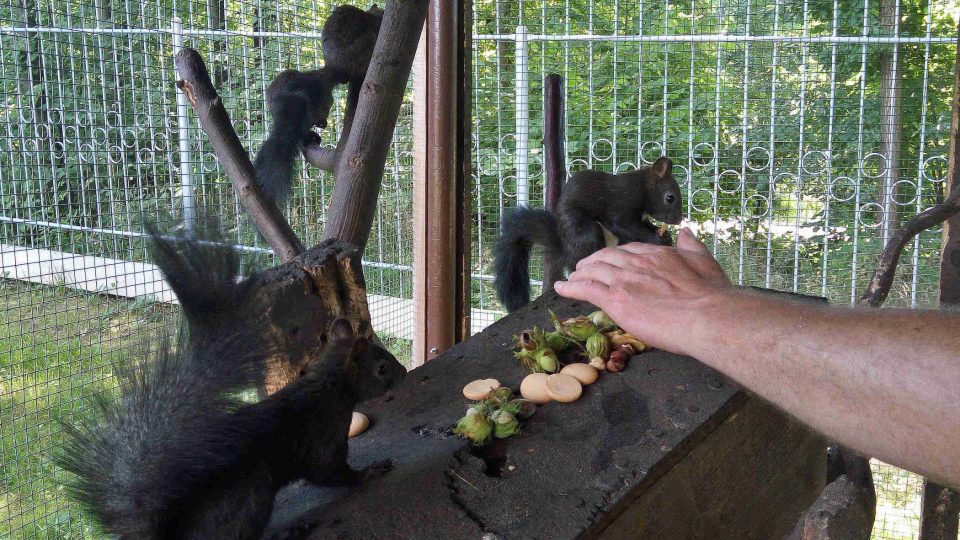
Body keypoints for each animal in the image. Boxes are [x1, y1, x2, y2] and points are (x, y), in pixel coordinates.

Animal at [58, 227, 404, 536]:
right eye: (382, 368)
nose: (401, 373)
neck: (330, 385)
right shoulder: (324, 437)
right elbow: (329, 471)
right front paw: (369, 472)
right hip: (250, 495)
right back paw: (287, 532)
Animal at [496, 156, 684, 312]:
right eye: (670, 198)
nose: (678, 219)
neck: (641, 187)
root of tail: (566, 254)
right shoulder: (621, 205)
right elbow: (625, 227)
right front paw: (656, 239)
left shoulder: (641, 218)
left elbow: (645, 226)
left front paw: (666, 236)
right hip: (587, 233)